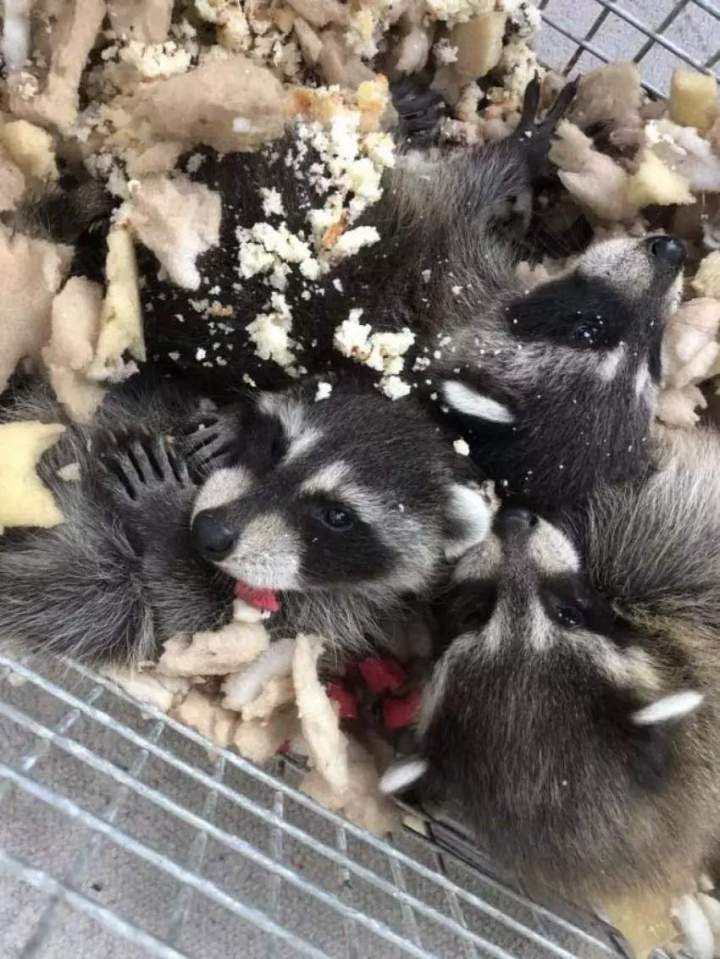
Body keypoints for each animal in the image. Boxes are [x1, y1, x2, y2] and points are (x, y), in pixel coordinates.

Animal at [0, 374, 492, 664]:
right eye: (276, 446)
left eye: (337, 516)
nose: (207, 531)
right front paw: (235, 420)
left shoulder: (311, 622)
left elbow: (188, 627)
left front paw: (163, 522)